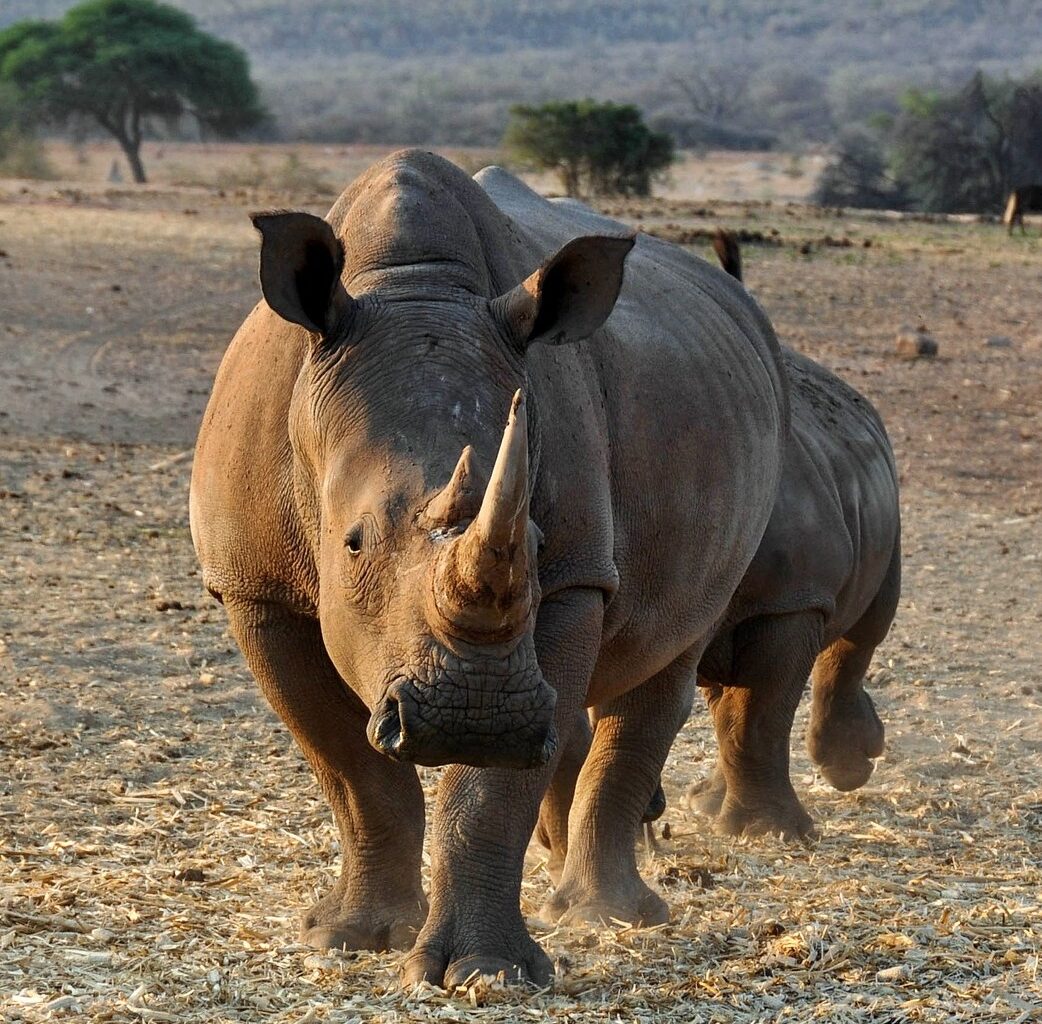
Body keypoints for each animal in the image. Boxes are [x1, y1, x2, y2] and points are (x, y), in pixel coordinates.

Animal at [190, 150, 788, 986]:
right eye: (352, 544)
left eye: (533, 545)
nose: (476, 717)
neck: (412, 284)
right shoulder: (254, 587)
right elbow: (352, 770)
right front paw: (354, 937)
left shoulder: (573, 576)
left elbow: (490, 790)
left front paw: (487, 971)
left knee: (664, 659)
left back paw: (609, 915)